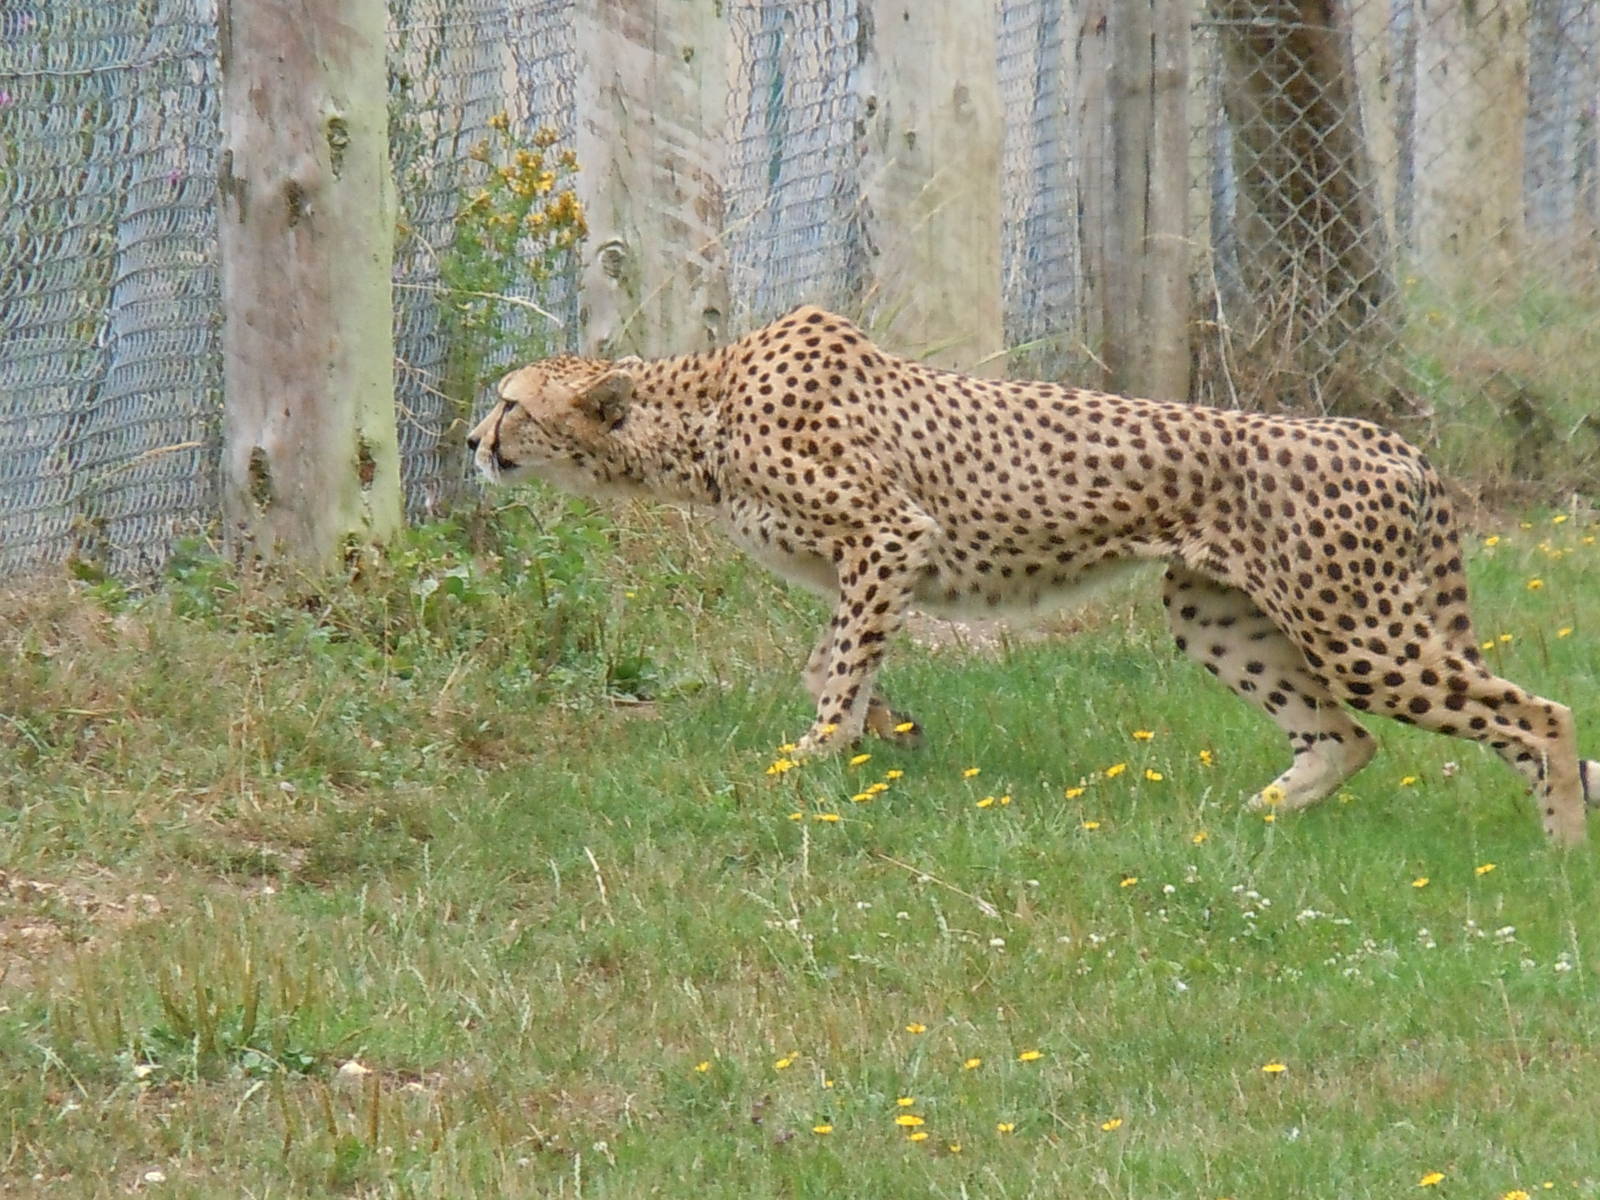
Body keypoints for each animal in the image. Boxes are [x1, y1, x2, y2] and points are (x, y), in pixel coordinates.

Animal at [468, 305, 1597, 844]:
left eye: (512, 404)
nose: (471, 439)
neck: (694, 416)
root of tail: (1384, 438)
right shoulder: (865, 563)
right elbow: (835, 660)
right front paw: (886, 736)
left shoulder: (891, 536)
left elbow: (836, 671)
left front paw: (814, 760)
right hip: (1212, 610)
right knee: (1348, 738)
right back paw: (1246, 824)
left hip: (1353, 626)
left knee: (1536, 714)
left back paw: (1559, 851)